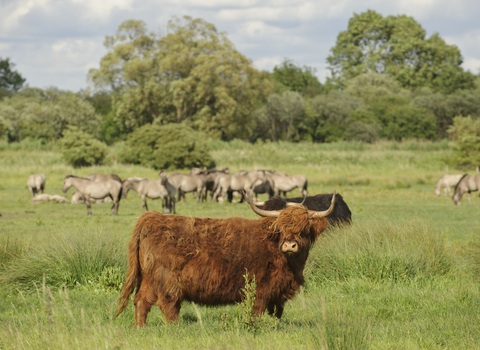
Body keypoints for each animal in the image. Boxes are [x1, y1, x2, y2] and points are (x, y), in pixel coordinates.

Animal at [114, 191, 336, 326]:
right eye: (280, 228)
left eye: (304, 229)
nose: (289, 245)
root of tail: (150, 218)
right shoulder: (260, 288)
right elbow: (256, 311)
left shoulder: (278, 292)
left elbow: (276, 313)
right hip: (167, 280)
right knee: (168, 304)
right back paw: (176, 327)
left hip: (148, 277)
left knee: (141, 300)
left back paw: (140, 328)